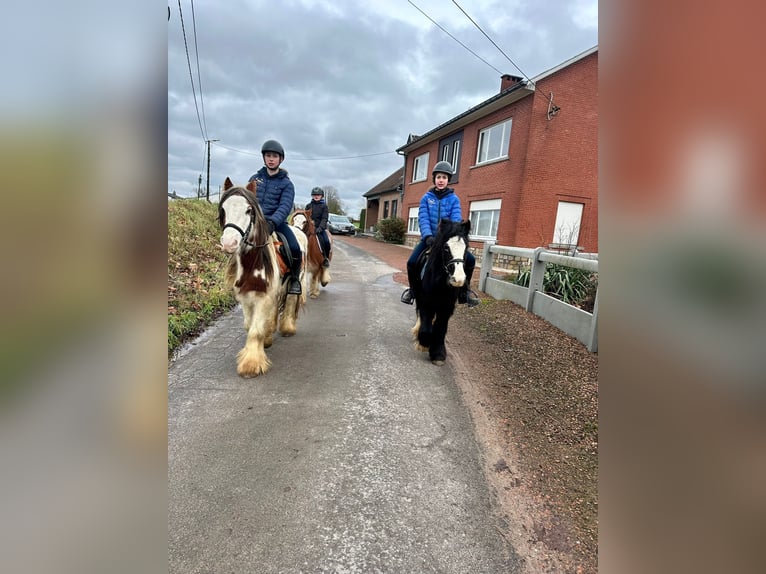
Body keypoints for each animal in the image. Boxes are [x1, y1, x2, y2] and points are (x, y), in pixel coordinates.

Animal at [218, 179, 308, 378]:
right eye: (224, 209)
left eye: (248, 210)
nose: (229, 243)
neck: (253, 261)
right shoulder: (247, 297)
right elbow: (249, 325)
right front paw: (263, 343)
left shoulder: (263, 296)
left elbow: (255, 331)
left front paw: (251, 365)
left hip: (294, 281)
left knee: (290, 302)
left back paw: (287, 328)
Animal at [414, 218, 474, 366]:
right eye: (446, 248)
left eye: (466, 247)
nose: (458, 279)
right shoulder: (426, 302)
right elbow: (426, 327)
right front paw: (424, 343)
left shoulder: (447, 306)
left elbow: (440, 327)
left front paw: (438, 353)